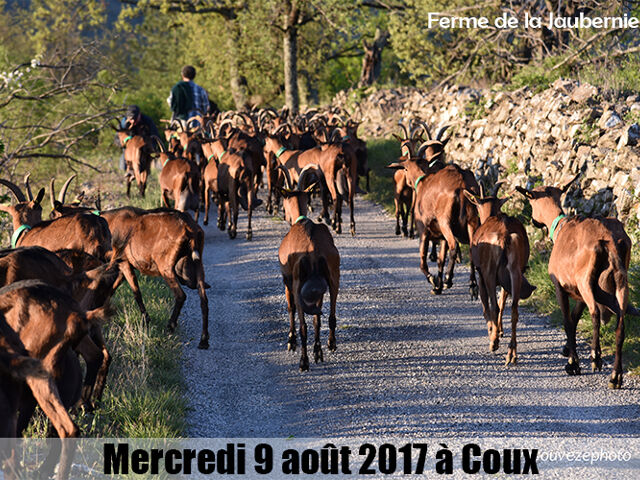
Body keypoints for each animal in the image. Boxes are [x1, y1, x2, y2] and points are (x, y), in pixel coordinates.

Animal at [278, 172, 340, 372]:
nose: (284, 214)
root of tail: (313, 251)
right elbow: (316, 319)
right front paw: (317, 350)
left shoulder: (287, 279)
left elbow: (291, 308)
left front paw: (291, 341)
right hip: (334, 276)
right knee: (329, 316)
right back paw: (328, 346)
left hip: (298, 284)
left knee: (303, 324)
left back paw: (303, 362)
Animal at [464, 188, 536, 364]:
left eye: (477, 205)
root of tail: (505, 236)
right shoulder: (506, 280)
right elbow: (503, 301)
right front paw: (500, 331)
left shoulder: (481, 275)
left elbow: (486, 305)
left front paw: (493, 332)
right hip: (516, 272)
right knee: (514, 310)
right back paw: (512, 354)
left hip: (489, 272)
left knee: (494, 306)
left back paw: (494, 343)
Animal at [516, 178, 636, 388]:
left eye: (531, 201)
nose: (533, 221)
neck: (560, 227)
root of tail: (610, 240)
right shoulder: (577, 293)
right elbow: (574, 318)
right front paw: (568, 352)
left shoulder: (560, 287)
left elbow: (567, 320)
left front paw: (573, 363)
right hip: (621, 279)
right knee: (620, 324)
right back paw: (615, 376)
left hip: (585, 279)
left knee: (595, 312)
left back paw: (595, 356)